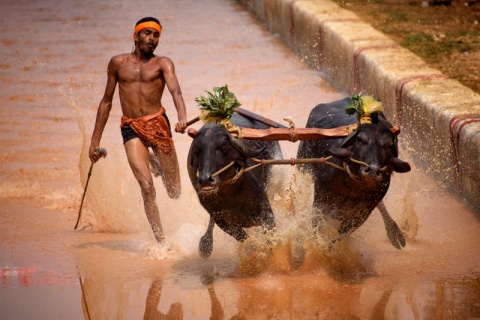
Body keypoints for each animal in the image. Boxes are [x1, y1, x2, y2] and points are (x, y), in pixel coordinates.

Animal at [186, 114, 280, 258]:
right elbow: (246, 240)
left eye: (224, 143)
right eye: (197, 148)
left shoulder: (266, 212)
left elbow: (272, 238)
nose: (206, 180)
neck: (232, 193)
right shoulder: (223, 221)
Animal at [298, 96, 410, 249]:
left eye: (389, 145)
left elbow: (338, 236)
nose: (373, 170)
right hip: (303, 166)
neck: (352, 186)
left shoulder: (362, 213)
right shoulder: (320, 201)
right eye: (360, 140)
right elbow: (318, 228)